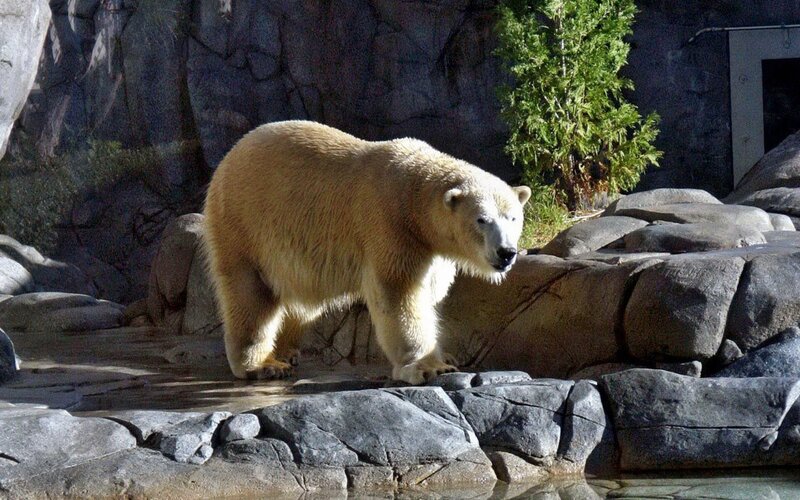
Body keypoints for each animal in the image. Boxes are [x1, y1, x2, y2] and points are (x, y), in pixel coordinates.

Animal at [203, 121, 531, 384]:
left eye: (513, 217)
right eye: (482, 220)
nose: (507, 252)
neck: (412, 195)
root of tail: (228, 159)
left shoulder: (431, 248)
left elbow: (431, 292)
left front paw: (446, 357)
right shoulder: (390, 225)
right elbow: (398, 294)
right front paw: (428, 367)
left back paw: (287, 351)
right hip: (245, 224)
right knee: (251, 294)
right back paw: (263, 365)